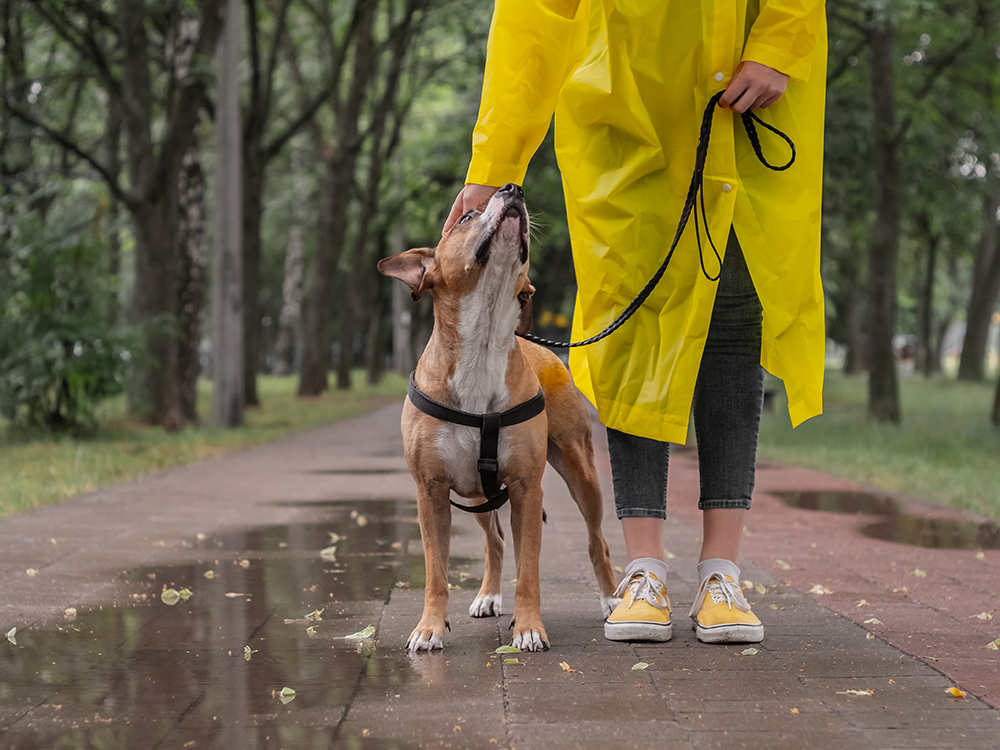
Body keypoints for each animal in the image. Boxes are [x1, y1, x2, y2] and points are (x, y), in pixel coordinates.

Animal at [378, 184, 620, 652]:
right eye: (465, 217)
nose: (512, 188)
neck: (484, 340)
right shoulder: (430, 491)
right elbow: (436, 572)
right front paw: (429, 627)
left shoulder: (527, 489)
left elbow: (530, 571)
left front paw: (528, 627)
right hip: (476, 496)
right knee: (494, 542)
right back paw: (488, 596)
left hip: (581, 472)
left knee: (597, 541)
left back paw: (612, 601)